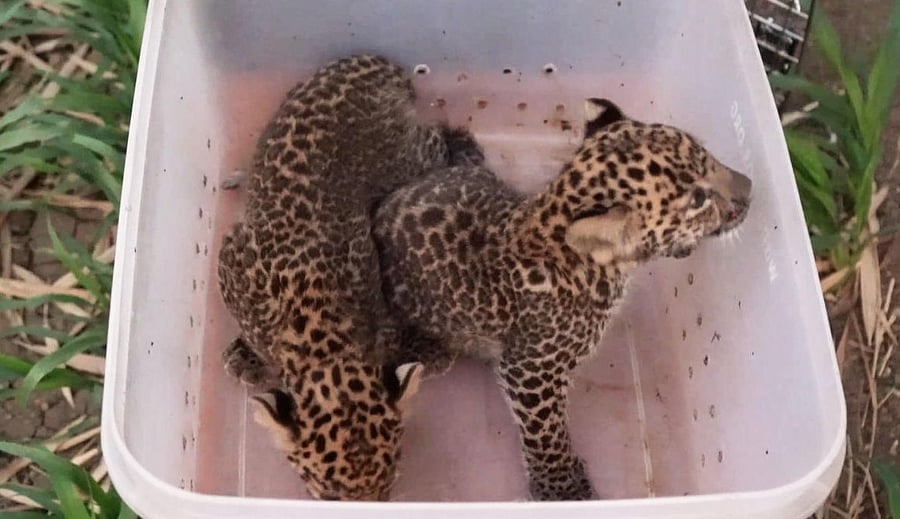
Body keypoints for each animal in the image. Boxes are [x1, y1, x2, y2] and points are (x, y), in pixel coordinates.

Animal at [216, 54, 479, 501]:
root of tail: (372, 63)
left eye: (389, 481)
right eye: (328, 495)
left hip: (408, 159)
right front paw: (246, 355)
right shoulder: (232, 257)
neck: (322, 343)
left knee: (441, 134)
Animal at [372, 98, 752, 501]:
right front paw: (564, 489)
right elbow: (546, 431)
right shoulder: (529, 370)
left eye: (708, 155)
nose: (751, 187)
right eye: (698, 199)